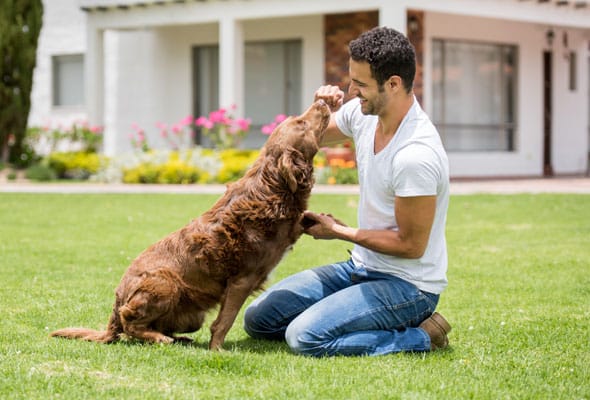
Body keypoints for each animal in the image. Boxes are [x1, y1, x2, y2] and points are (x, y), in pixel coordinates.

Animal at [51, 100, 330, 350]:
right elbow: (224, 322)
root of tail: (117, 301)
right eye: (301, 123)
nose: (322, 101)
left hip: (191, 315)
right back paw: (160, 339)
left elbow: (302, 221)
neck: (272, 187)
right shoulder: (241, 279)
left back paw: (177, 338)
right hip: (165, 284)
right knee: (129, 321)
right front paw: (217, 350)